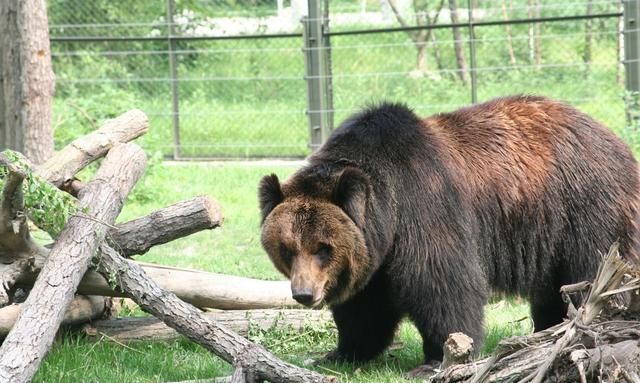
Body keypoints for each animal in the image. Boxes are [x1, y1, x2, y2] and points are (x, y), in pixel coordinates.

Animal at [258, 96, 636, 376]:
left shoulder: (424, 205)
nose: (304, 293)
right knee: (551, 288)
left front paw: (435, 359)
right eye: (287, 249)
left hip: (584, 206)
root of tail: (614, 137)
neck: (387, 211)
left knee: (592, 271)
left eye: (322, 248)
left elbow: (442, 283)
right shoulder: (373, 252)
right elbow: (365, 304)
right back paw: (546, 330)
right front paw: (340, 353)